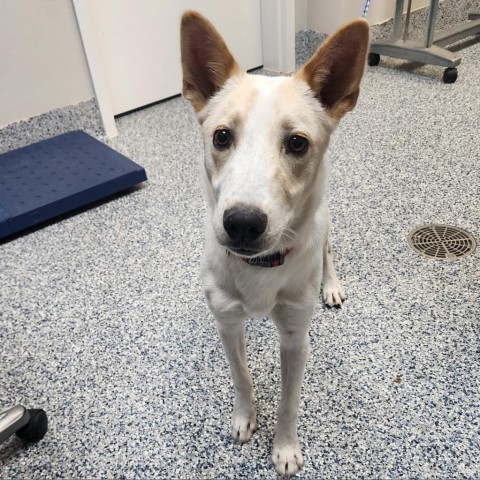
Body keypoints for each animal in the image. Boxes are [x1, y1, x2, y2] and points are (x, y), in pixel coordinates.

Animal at [180, 11, 372, 476]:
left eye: (297, 143)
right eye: (221, 137)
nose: (242, 223)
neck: (260, 268)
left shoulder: (295, 337)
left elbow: (289, 402)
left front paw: (284, 449)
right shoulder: (228, 323)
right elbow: (242, 377)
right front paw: (245, 418)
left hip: (325, 218)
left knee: (327, 250)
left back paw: (330, 285)